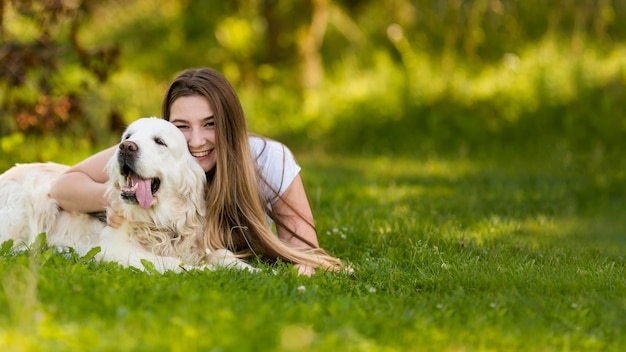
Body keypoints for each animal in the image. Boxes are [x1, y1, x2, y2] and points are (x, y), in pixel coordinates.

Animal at [0, 117, 254, 274]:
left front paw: (257, 270)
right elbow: (170, 263)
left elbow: (224, 254)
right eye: (128, 136)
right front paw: (202, 271)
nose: (126, 147)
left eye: (160, 141)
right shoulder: (117, 249)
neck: (160, 223)